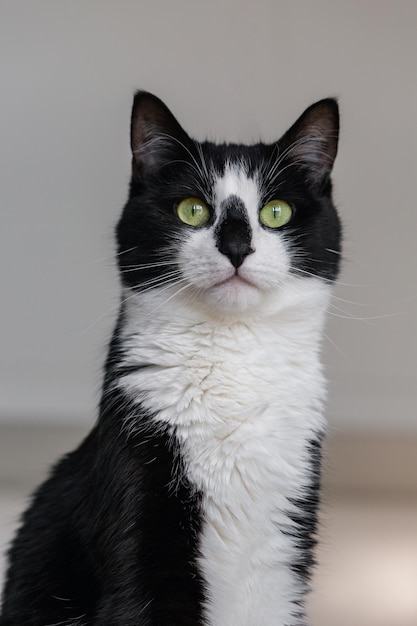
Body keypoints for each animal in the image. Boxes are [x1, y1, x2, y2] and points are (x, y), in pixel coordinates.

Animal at [0, 90, 342, 620]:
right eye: (192, 210)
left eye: (276, 212)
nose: (237, 247)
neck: (231, 361)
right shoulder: (136, 490)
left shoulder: (285, 544)